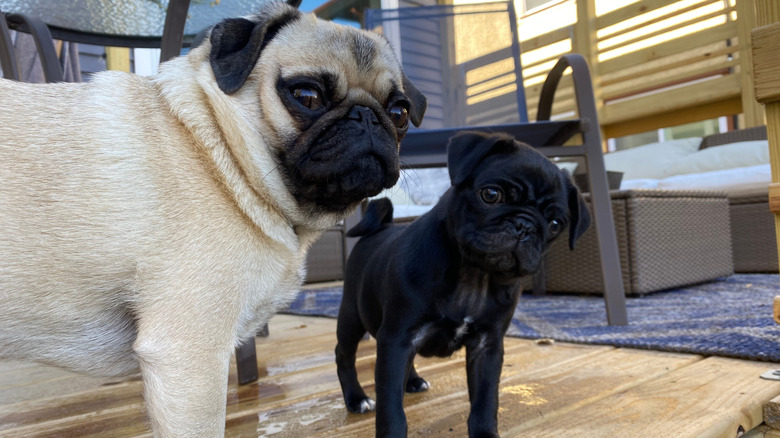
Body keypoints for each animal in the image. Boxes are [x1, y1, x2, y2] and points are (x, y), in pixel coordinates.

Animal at [336, 131, 592, 438]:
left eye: (555, 224)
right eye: (491, 195)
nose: (524, 226)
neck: (474, 274)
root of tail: (382, 226)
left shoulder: (486, 346)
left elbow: (485, 400)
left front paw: (485, 434)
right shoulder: (398, 338)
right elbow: (391, 409)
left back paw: (412, 381)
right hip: (352, 317)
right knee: (344, 355)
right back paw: (356, 398)